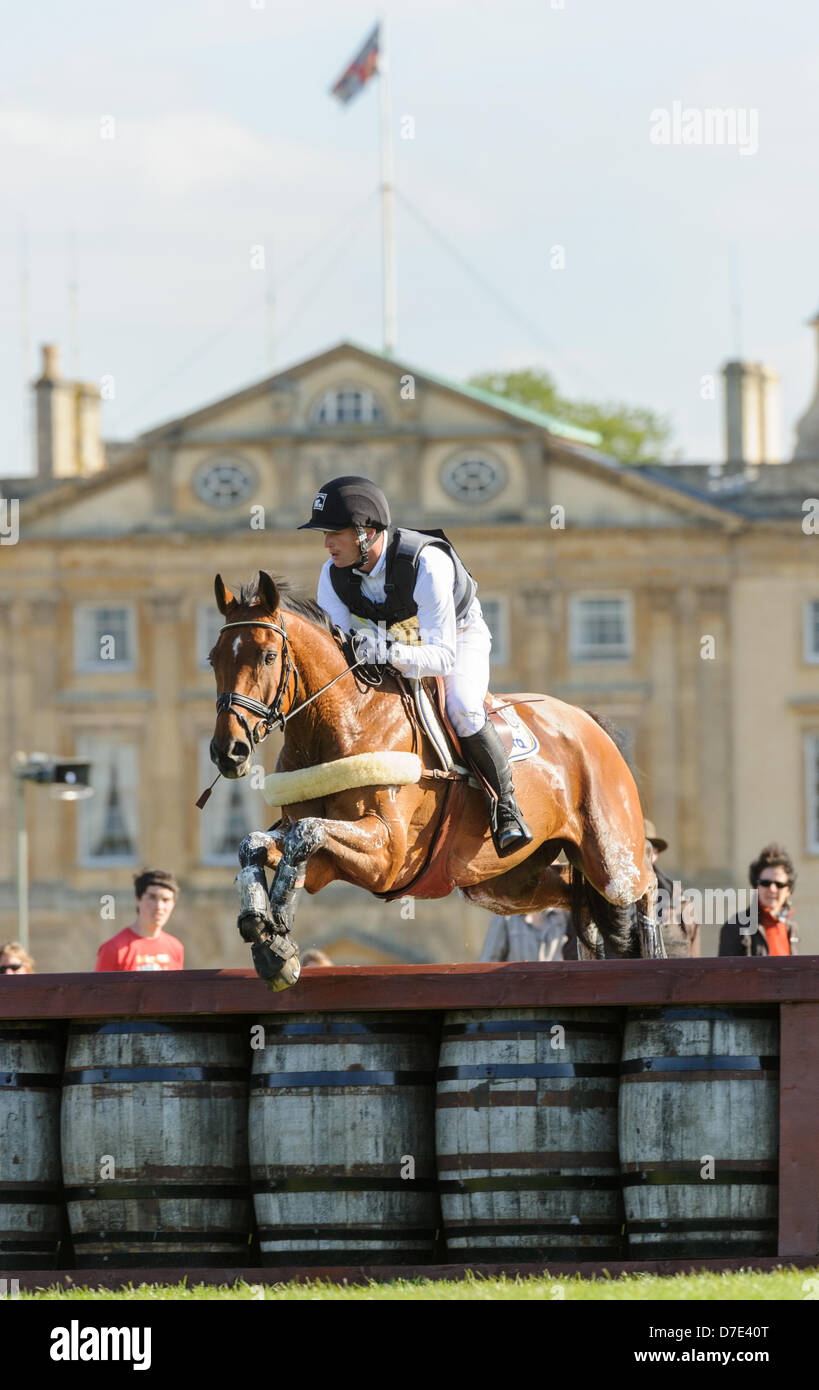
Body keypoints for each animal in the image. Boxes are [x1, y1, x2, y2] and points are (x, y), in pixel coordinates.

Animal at [205, 567, 664, 989]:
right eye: (213, 658)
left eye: (268, 656)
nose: (229, 751)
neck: (339, 721)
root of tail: (586, 721)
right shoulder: (325, 863)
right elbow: (255, 844)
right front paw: (266, 936)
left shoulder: (386, 853)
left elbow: (307, 832)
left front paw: (278, 919)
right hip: (504, 883)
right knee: (575, 894)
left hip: (609, 854)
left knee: (641, 885)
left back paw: (655, 952)